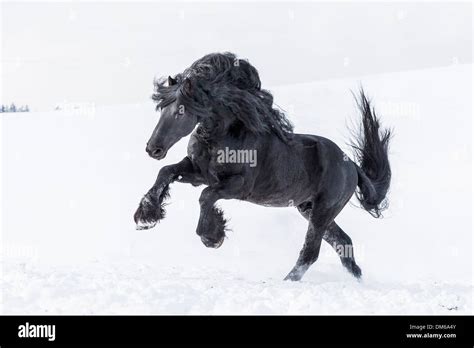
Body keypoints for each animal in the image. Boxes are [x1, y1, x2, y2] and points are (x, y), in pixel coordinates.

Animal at [133, 52, 392, 282]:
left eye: (180, 111)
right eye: (161, 109)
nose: (153, 149)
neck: (224, 136)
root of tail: (353, 166)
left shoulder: (237, 186)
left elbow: (206, 196)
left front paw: (212, 236)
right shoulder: (199, 172)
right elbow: (166, 172)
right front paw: (146, 216)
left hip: (323, 211)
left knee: (311, 252)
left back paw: (287, 281)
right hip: (309, 209)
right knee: (343, 243)